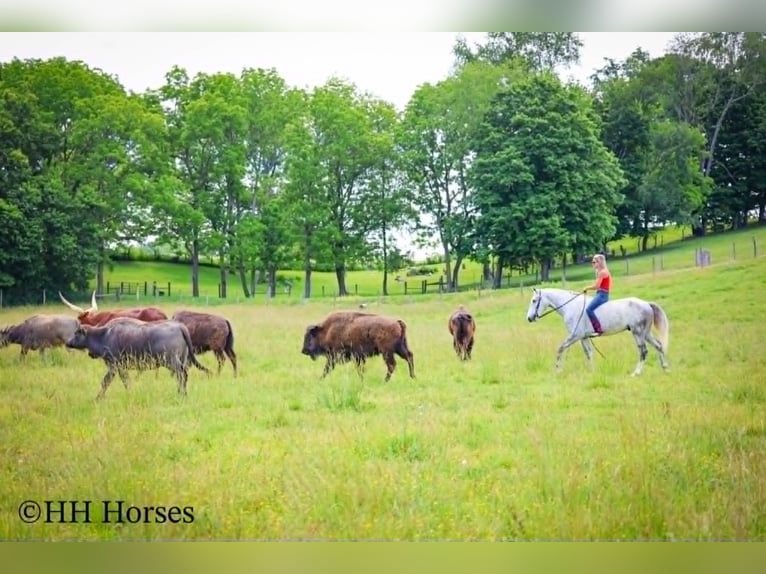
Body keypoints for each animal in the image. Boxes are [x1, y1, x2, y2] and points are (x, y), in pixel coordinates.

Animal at [525, 287, 670, 376]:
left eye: (534, 301)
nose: (529, 318)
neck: (570, 307)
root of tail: (646, 304)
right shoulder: (583, 337)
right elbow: (589, 353)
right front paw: (592, 372)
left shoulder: (575, 336)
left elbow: (560, 349)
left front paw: (558, 370)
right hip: (646, 333)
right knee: (658, 346)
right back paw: (665, 369)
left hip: (638, 333)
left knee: (643, 351)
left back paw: (636, 373)